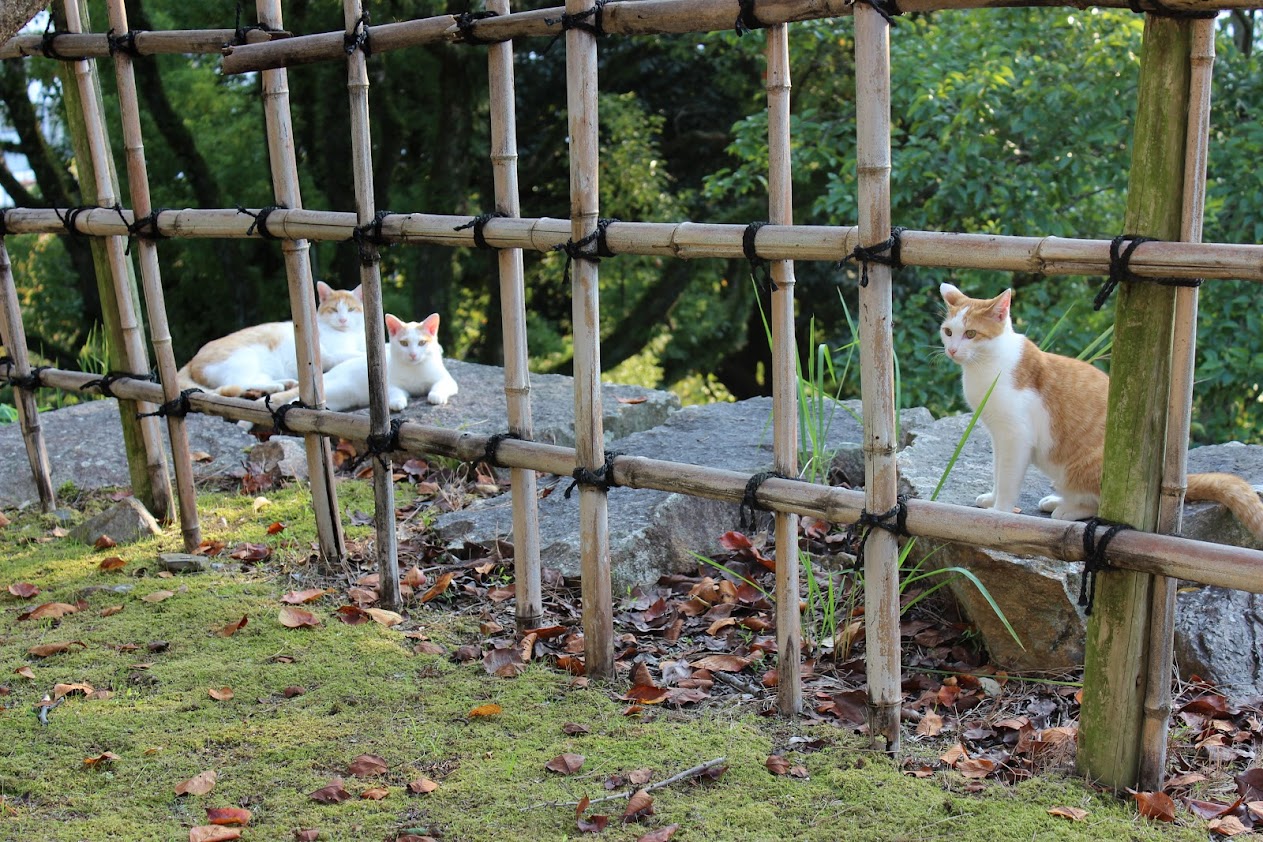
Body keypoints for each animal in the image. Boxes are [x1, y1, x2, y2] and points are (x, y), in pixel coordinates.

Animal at [178, 281, 366, 401]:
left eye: (351, 309)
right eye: (334, 310)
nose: (343, 320)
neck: (351, 334)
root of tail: (192, 359)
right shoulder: (331, 355)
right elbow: (355, 354)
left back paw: (285, 383)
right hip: (244, 358)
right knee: (234, 385)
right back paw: (276, 387)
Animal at [266, 311, 459, 414]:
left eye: (422, 343)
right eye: (404, 343)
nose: (412, 354)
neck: (414, 370)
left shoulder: (448, 380)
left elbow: (441, 384)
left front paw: (436, 395)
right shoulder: (388, 384)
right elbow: (395, 391)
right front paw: (397, 401)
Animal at [939, 280, 1263, 537]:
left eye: (971, 334)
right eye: (948, 332)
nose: (951, 350)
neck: (986, 367)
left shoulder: (1015, 436)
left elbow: (1008, 477)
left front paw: (999, 511)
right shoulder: (998, 436)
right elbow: (998, 471)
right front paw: (992, 499)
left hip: (1083, 467)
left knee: (1099, 504)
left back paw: (1066, 509)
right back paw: (1058, 500)